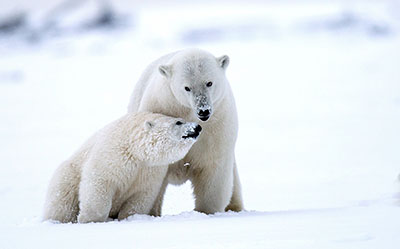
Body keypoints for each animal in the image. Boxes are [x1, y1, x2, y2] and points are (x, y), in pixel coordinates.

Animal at [128, 48, 244, 214]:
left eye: (209, 83)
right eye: (187, 87)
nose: (203, 110)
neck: (188, 113)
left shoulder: (218, 126)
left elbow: (213, 170)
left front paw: (205, 211)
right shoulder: (161, 107)